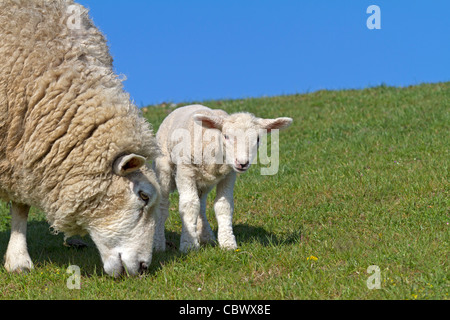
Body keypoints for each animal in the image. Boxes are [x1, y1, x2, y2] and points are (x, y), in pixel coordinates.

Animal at [152, 104, 292, 251]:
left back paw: (206, 236)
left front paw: (227, 243)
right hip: (164, 166)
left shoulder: (229, 175)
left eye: (258, 139)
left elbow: (223, 205)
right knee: (163, 205)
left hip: (204, 182)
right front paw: (189, 245)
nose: (242, 163)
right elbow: (189, 204)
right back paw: (158, 243)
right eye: (226, 136)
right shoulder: (185, 170)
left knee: (201, 204)